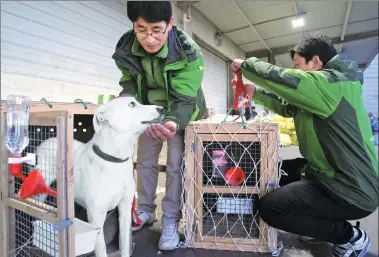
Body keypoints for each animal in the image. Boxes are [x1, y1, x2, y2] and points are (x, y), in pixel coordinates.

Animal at [33, 96, 163, 256]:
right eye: (132, 104)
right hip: (40, 191)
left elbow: (124, 245)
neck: (115, 161)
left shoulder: (125, 210)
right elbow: (101, 251)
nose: (162, 108)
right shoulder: (96, 219)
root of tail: (45, 141)